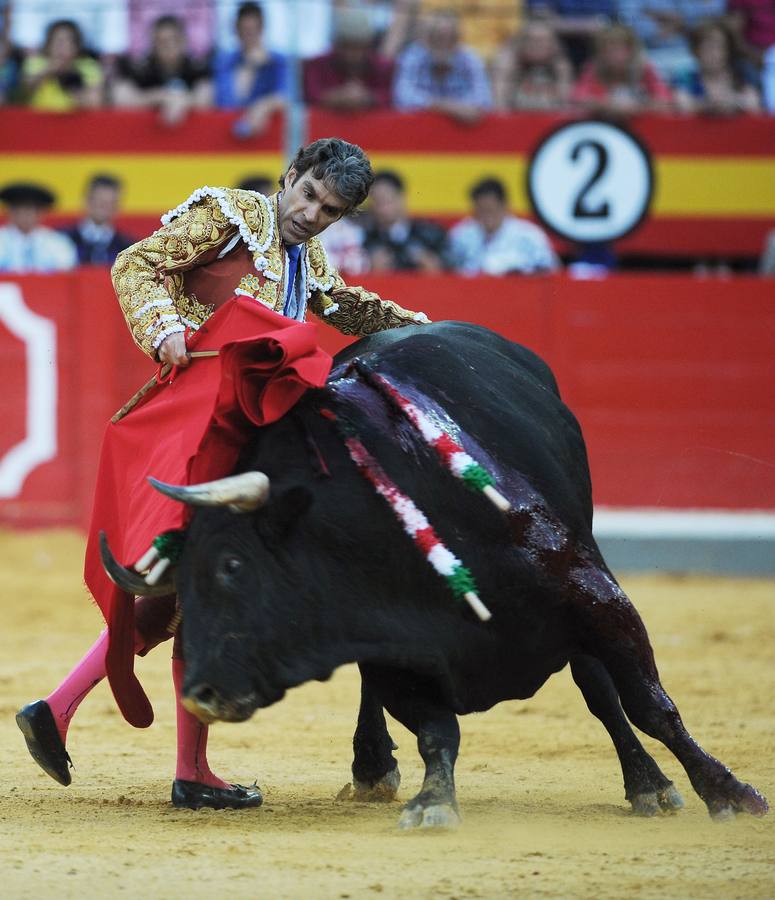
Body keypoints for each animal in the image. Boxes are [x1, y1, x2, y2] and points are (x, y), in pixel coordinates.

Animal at [101, 324, 764, 828]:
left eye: (233, 565)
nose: (201, 694)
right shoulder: (394, 649)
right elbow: (435, 731)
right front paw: (433, 801)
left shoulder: (595, 597)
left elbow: (650, 704)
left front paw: (729, 793)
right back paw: (370, 766)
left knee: (599, 687)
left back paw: (649, 783)